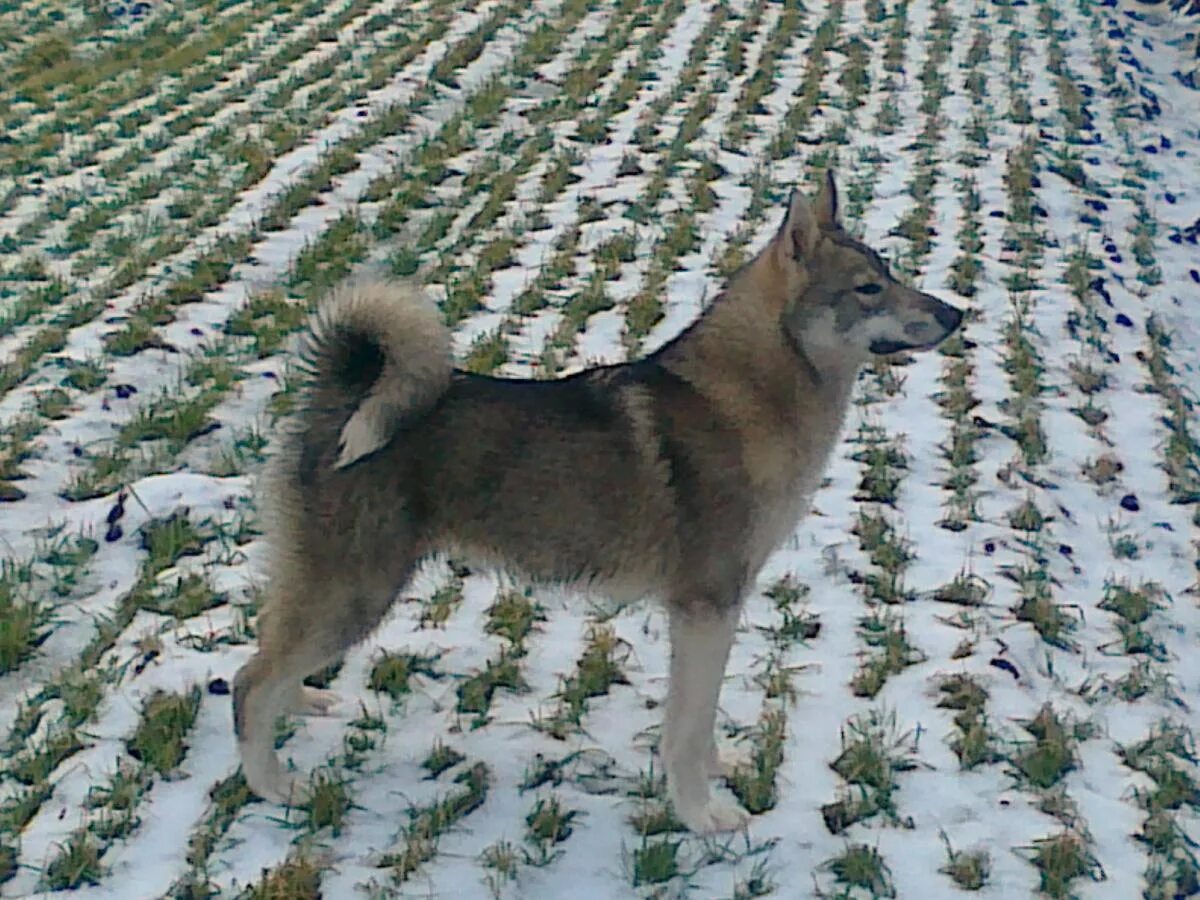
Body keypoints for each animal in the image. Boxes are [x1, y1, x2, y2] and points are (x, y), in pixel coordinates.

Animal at [231, 172, 964, 835]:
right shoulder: (706, 606)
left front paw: (715, 773)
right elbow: (686, 727)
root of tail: (345, 387)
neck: (749, 395)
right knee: (248, 683)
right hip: (358, 592)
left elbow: (702, 721)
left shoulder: (713, 612)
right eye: (868, 288)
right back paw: (275, 788)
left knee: (271, 652)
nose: (956, 313)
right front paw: (702, 816)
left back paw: (301, 704)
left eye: (889, 272)